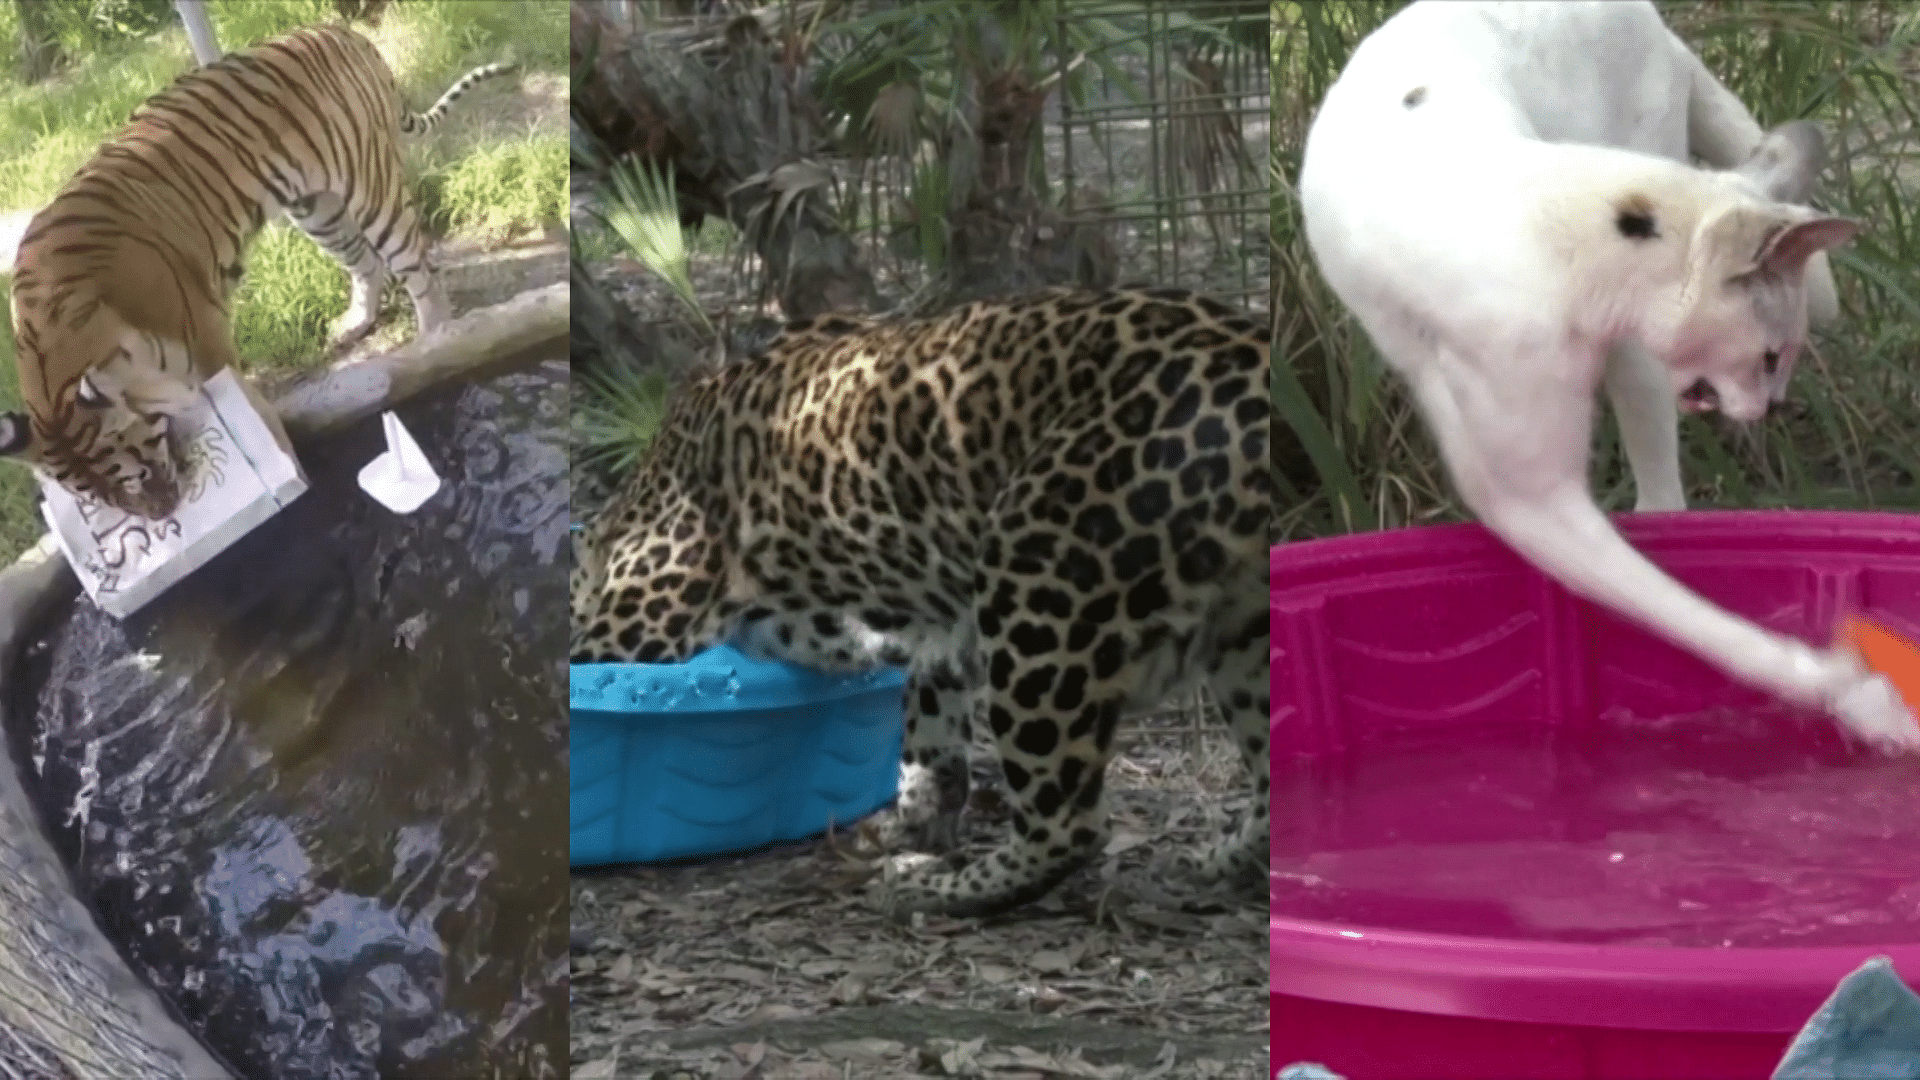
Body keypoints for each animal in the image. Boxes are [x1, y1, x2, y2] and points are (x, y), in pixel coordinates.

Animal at [3, 21, 514, 518]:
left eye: (136, 475)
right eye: (100, 502)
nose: (162, 518)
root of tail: (343, 30)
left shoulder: (212, 348)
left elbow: (263, 424)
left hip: (372, 191)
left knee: (417, 270)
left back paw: (435, 340)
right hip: (317, 211)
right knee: (366, 263)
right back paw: (355, 324)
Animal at [568, 282, 1274, 910]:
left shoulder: (633, 628)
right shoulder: (943, 617)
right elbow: (930, 729)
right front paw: (912, 817)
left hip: (1037, 567)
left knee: (1069, 824)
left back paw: (933, 890)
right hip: (1244, 636)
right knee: (1275, 777)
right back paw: (1222, 864)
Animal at [1297, 0, 1912, 749]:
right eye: (1772, 356)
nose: (1775, 407)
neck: (1553, 227)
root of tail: (1656, 22)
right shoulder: (1528, 494)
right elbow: (1686, 612)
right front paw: (1859, 697)